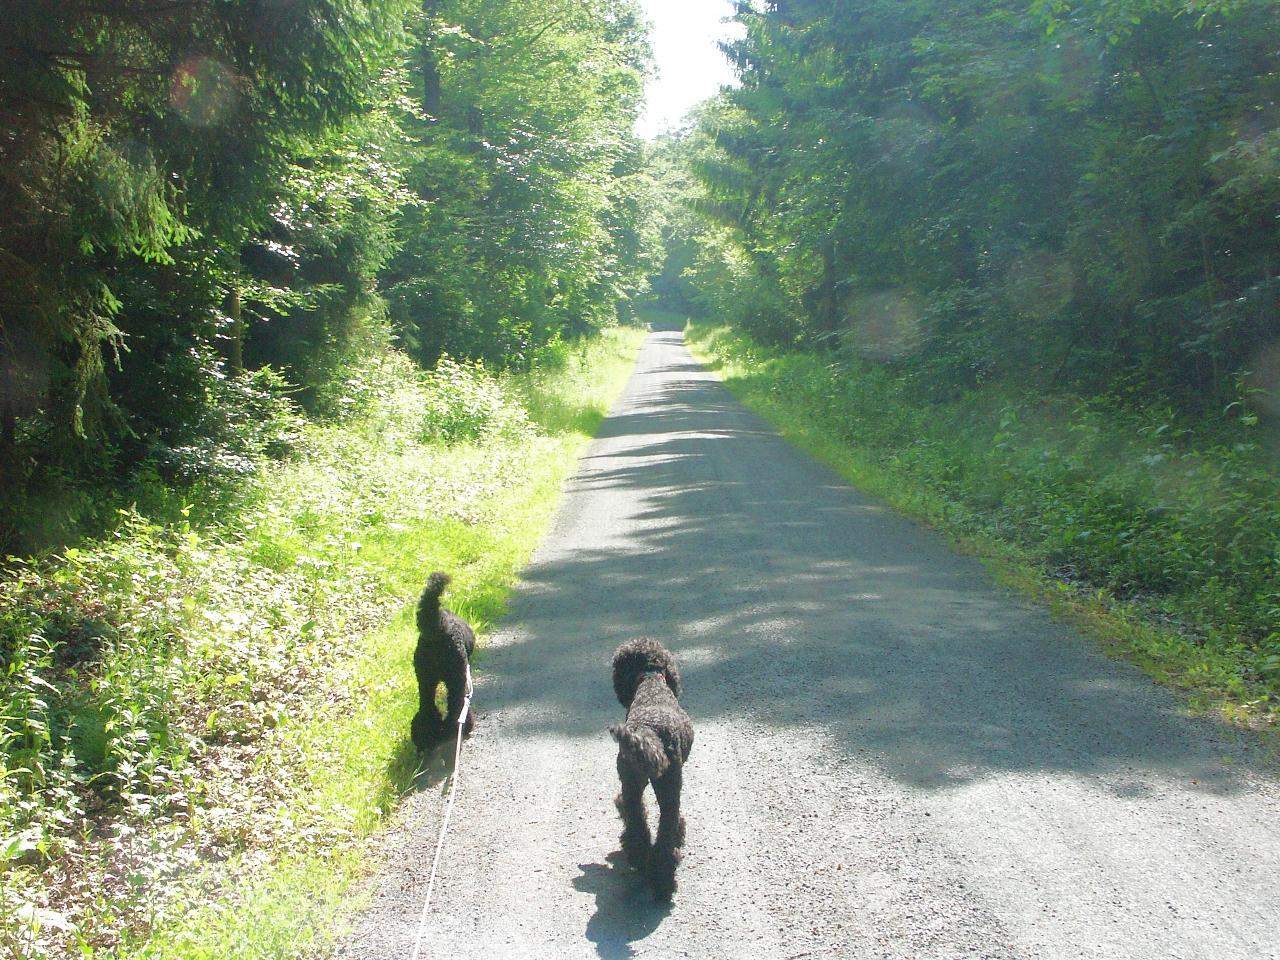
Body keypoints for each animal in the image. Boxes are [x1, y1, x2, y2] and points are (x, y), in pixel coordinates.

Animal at [409, 570, 476, 752]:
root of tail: (438, 629)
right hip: (455, 676)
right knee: (456, 708)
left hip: (425, 678)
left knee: (427, 709)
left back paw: (426, 739)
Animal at [606, 640, 691, 901]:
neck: (650, 680)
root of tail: (648, 733)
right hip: (670, 787)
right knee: (666, 829)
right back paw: (663, 881)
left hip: (631, 782)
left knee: (636, 821)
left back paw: (639, 859)